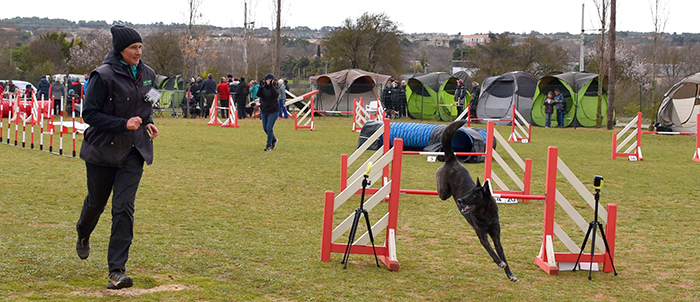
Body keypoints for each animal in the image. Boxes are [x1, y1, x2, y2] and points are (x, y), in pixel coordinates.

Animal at [434, 119, 516, 282]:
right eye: (469, 192)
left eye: (473, 195)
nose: (460, 200)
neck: (485, 215)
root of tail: (453, 159)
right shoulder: (482, 235)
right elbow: (492, 252)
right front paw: (500, 263)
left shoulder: (496, 236)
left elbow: (501, 253)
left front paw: (510, 274)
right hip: (444, 192)